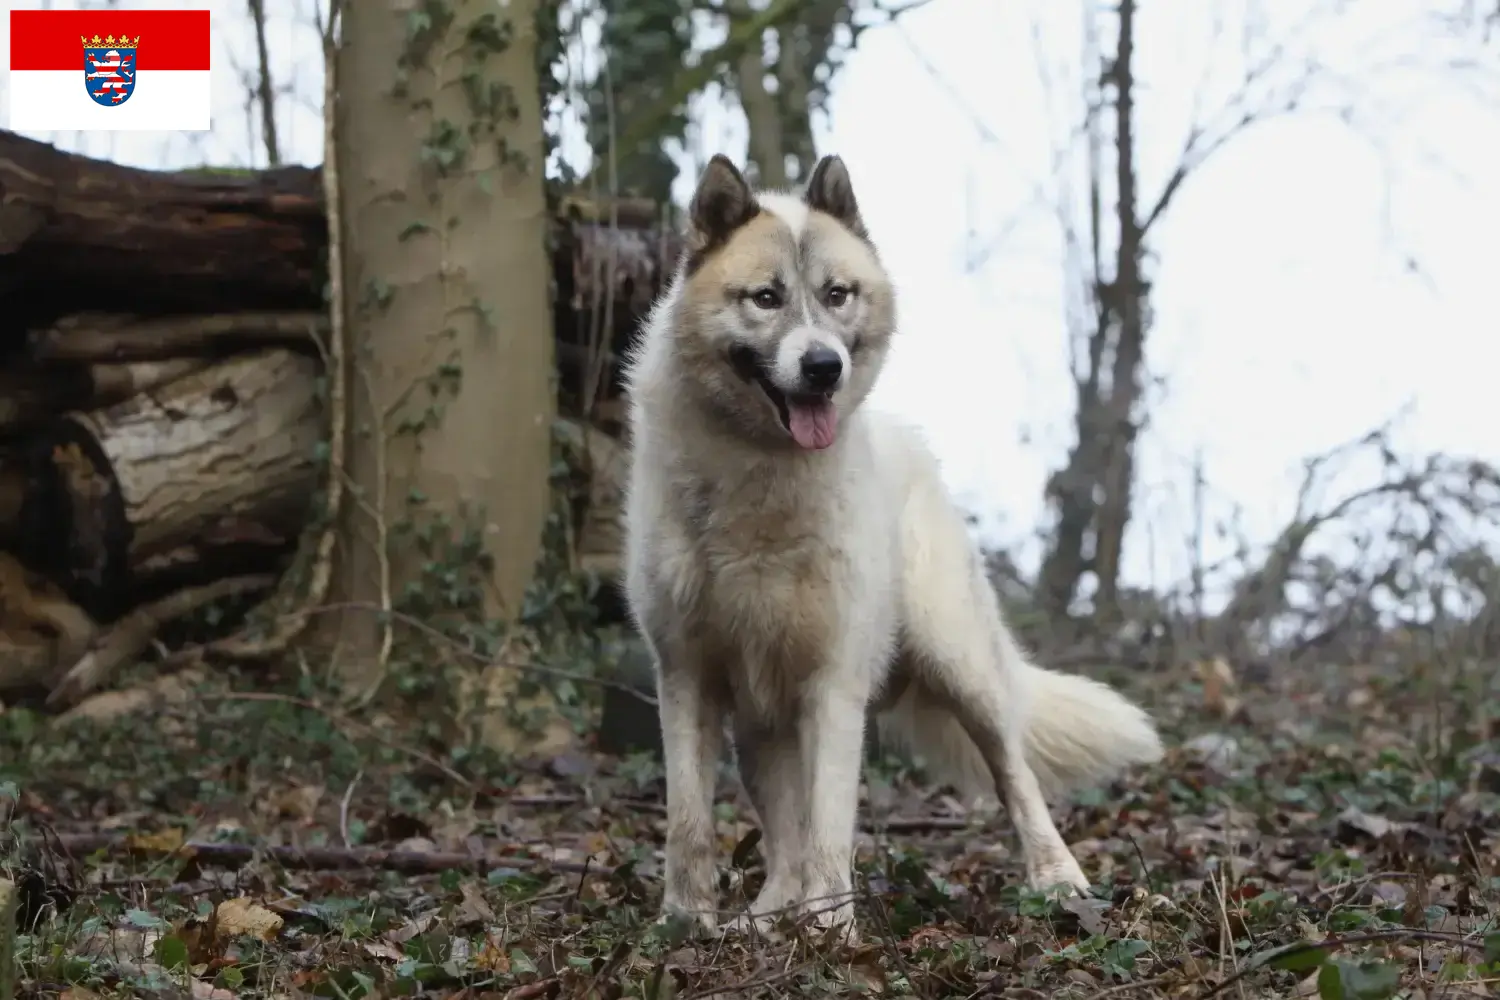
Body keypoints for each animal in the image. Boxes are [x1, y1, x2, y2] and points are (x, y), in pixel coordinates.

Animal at [615, 152, 1164, 935]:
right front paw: (685, 927)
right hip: (760, 727)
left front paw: (832, 936)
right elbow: (690, 824)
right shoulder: (686, 677)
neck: (760, 472)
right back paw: (764, 919)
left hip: (963, 673)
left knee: (1016, 777)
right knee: (782, 842)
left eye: (836, 295)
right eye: (766, 297)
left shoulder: (834, 686)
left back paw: (1059, 881)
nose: (823, 367)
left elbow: (829, 830)